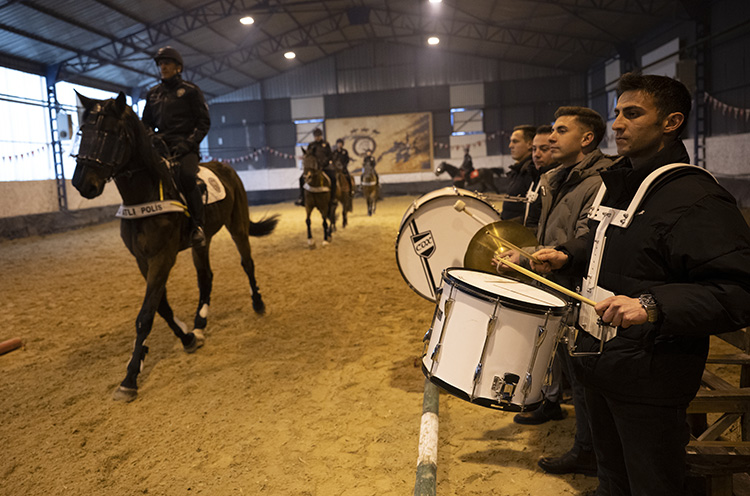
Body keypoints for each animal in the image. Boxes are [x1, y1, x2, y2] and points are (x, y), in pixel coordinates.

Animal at [72, 92, 280, 404]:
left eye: (112, 134)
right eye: (84, 131)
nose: (82, 184)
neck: (145, 194)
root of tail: (227, 168)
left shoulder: (163, 257)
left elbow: (146, 314)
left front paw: (130, 379)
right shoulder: (143, 260)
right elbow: (162, 308)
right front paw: (187, 338)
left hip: (237, 226)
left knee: (247, 263)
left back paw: (258, 304)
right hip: (202, 242)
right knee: (206, 277)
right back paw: (199, 324)